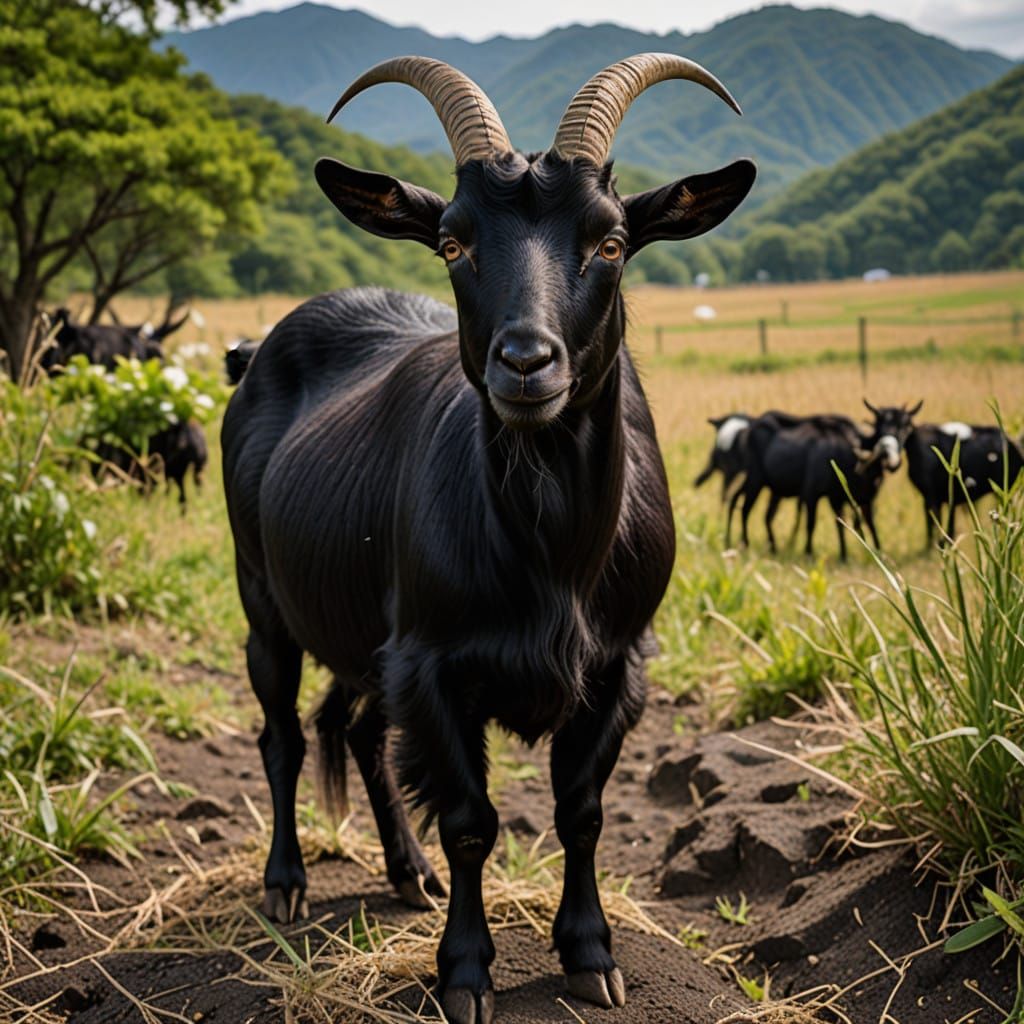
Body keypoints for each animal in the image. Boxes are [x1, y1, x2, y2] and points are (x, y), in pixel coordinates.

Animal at [221, 55, 754, 1024]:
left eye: (612, 242)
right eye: (453, 243)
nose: (526, 361)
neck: (552, 554)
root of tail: (253, 354)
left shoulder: (615, 664)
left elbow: (582, 812)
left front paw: (591, 955)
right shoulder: (434, 661)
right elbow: (471, 820)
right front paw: (465, 975)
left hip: (368, 635)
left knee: (359, 732)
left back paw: (408, 874)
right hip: (263, 597)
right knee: (281, 734)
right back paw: (285, 885)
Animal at [738, 401, 920, 560]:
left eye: (906, 428)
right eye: (880, 425)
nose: (893, 463)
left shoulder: (854, 498)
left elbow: (861, 524)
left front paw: (875, 554)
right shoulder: (812, 494)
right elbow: (811, 524)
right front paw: (809, 553)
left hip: (775, 489)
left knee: (767, 516)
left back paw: (773, 547)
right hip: (755, 479)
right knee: (745, 510)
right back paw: (745, 544)